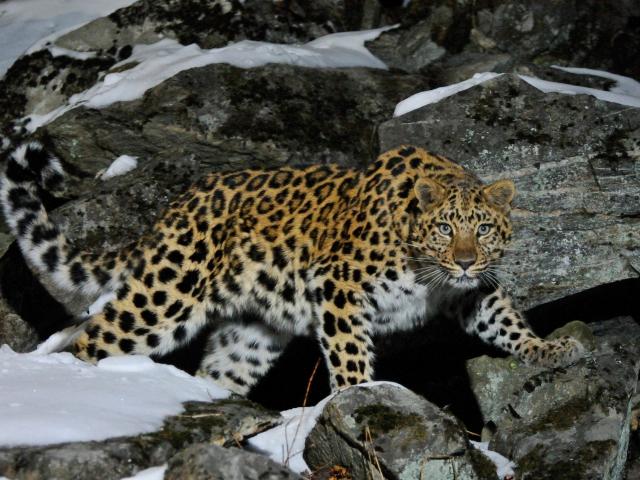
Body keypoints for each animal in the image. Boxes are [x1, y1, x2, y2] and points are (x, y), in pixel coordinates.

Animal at [0, 142, 585, 394]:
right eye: (445, 228)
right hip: (166, 297)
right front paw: (359, 396)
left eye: (482, 229)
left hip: (250, 335)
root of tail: (172, 210)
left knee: (217, 371)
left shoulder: (471, 293)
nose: (463, 259)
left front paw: (551, 348)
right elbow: (350, 354)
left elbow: (505, 321)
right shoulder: (339, 285)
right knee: (92, 336)